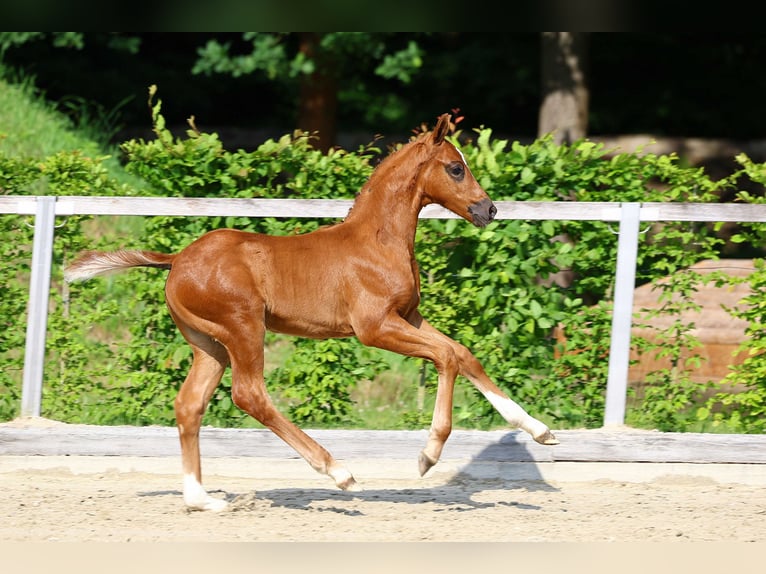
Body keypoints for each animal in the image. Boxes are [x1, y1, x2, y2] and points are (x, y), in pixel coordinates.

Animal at [64, 113, 558, 511]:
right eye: (456, 168)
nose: (488, 209)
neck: (377, 241)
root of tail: (176, 260)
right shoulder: (374, 328)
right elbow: (447, 357)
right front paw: (428, 455)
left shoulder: (409, 317)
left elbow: (463, 353)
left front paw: (538, 430)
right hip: (243, 328)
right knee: (250, 395)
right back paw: (338, 472)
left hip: (210, 344)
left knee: (190, 405)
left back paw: (202, 500)